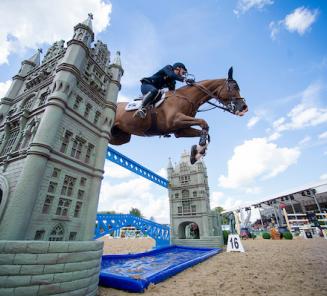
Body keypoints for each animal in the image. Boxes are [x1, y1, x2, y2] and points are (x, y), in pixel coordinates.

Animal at [109, 67, 247, 163]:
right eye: (234, 87)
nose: (244, 108)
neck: (187, 97)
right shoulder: (175, 120)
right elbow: (204, 123)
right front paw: (200, 147)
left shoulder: (181, 130)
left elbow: (206, 132)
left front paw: (196, 153)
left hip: (121, 137)